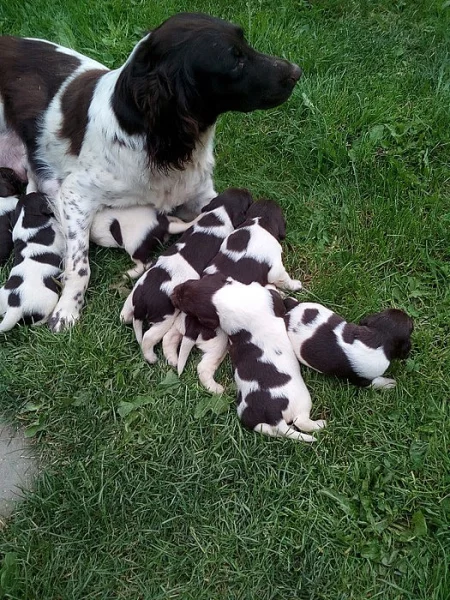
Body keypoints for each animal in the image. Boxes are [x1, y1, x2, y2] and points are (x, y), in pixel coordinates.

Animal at [0, 192, 64, 332]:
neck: (26, 220)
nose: (44, 192)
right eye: (42, 195)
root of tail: (15, 306)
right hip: (49, 299)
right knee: (37, 321)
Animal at [119, 190, 253, 364]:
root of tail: (141, 301)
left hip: (134, 296)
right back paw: (151, 357)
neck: (219, 213)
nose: (248, 191)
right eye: (247, 200)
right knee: (148, 337)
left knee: (125, 312)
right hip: (164, 318)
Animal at [163, 199, 302, 396]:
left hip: (178, 325)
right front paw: (294, 285)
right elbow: (284, 279)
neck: (258, 222)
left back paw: (172, 358)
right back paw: (216, 388)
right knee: (204, 368)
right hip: (219, 344)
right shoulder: (276, 268)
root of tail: (191, 326)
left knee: (169, 338)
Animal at [171, 276, 326, 440]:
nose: (172, 294)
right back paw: (320, 424)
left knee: (269, 429)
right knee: (301, 421)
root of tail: (274, 415)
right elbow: (275, 293)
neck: (225, 298)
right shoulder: (272, 298)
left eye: (189, 283)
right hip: (303, 401)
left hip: (247, 416)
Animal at [284, 298, 414, 390]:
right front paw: (389, 384)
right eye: (411, 327)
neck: (379, 336)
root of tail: (292, 309)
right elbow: (376, 382)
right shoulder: (363, 379)